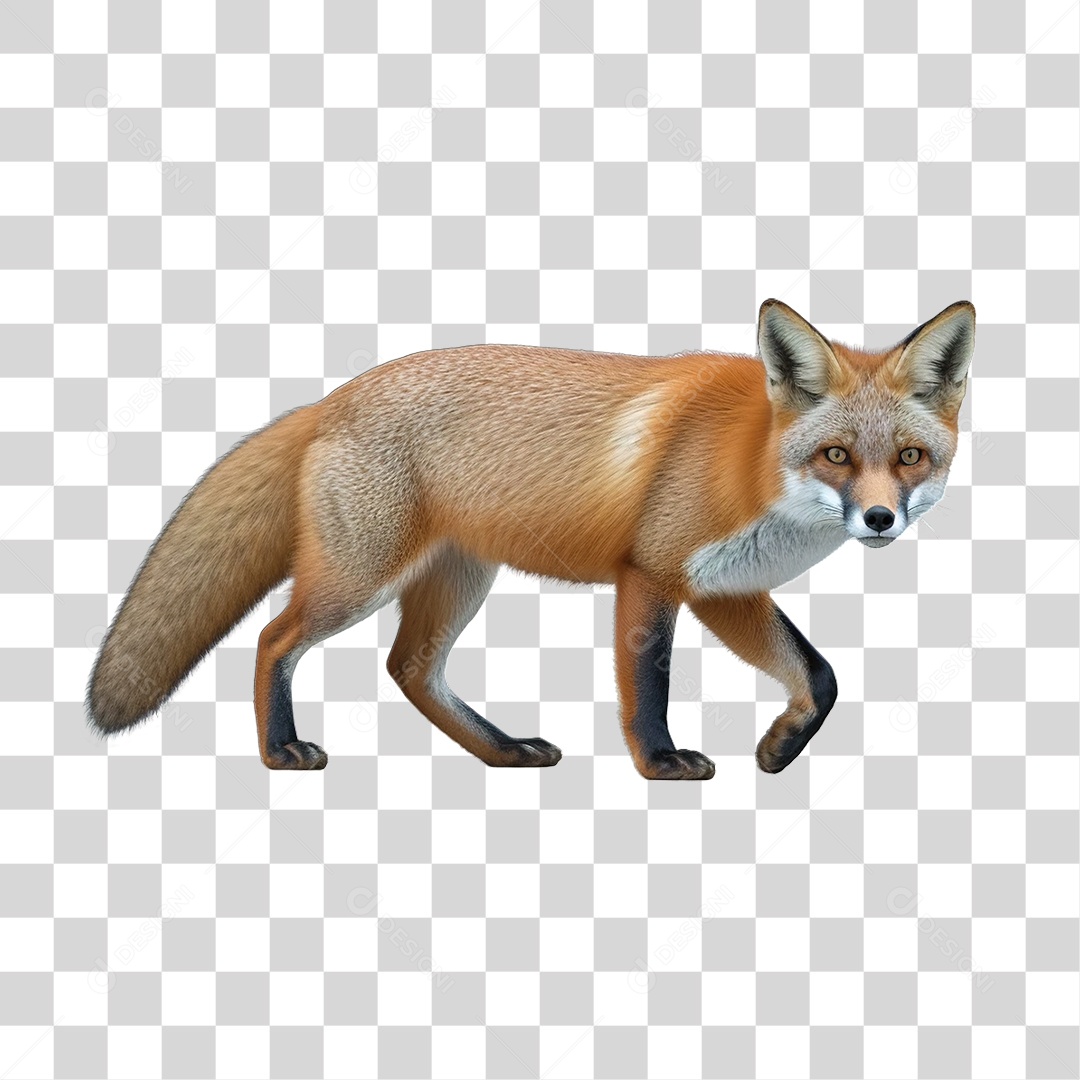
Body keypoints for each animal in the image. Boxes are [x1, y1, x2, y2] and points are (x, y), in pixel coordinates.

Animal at [86, 298, 975, 778]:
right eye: (836, 456)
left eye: (908, 457)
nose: (880, 520)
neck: (752, 467)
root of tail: (334, 397)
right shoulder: (652, 575)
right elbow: (648, 687)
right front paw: (661, 764)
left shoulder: (725, 589)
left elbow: (818, 676)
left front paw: (781, 749)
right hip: (358, 578)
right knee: (274, 638)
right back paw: (281, 750)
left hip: (456, 579)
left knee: (409, 670)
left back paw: (504, 753)